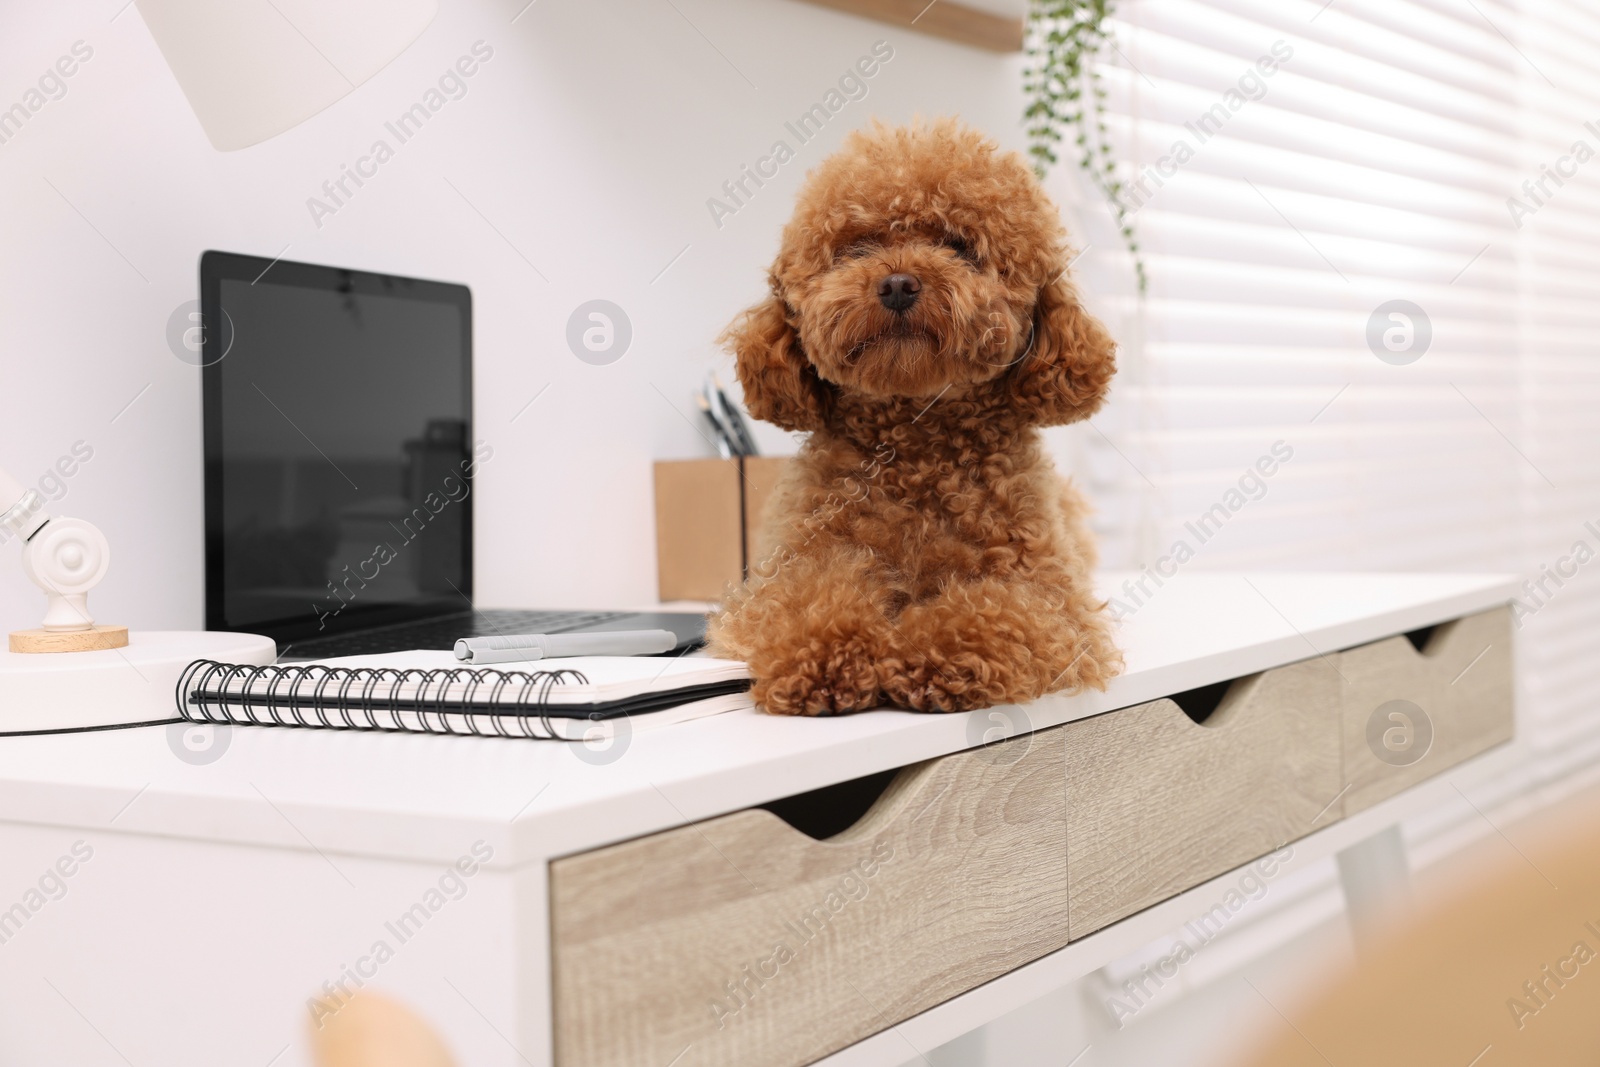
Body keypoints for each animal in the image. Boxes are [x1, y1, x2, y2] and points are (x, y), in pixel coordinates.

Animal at [707, 119, 1120, 716]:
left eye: (959, 246)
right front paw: (825, 657)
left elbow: (1000, 613)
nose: (898, 283)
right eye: (856, 248)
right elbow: (807, 599)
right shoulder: (786, 574)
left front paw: (929, 654)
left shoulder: (1050, 596)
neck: (917, 439)